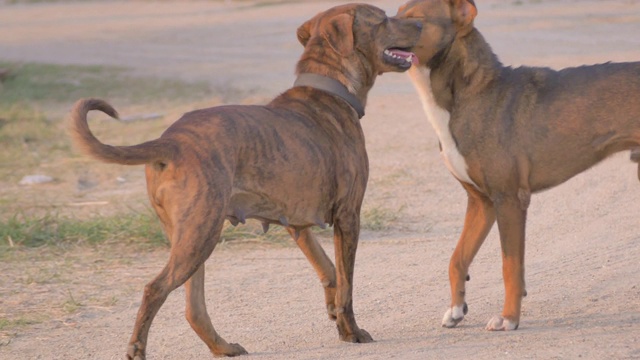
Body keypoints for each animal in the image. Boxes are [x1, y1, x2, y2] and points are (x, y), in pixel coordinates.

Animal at [70, 3, 422, 360]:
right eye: (382, 18)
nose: (420, 22)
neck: (329, 86)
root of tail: (171, 141)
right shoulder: (348, 216)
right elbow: (347, 283)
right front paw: (351, 331)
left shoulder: (297, 225)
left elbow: (329, 270)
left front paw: (333, 312)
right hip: (201, 233)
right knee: (154, 289)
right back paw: (138, 349)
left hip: (191, 237)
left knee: (194, 309)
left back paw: (223, 347)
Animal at [396, 0, 640, 332]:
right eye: (395, 13)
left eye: (416, 19)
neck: (471, 93)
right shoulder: (481, 203)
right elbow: (457, 259)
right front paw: (457, 309)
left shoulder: (509, 199)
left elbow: (510, 266)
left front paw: (509, 318)